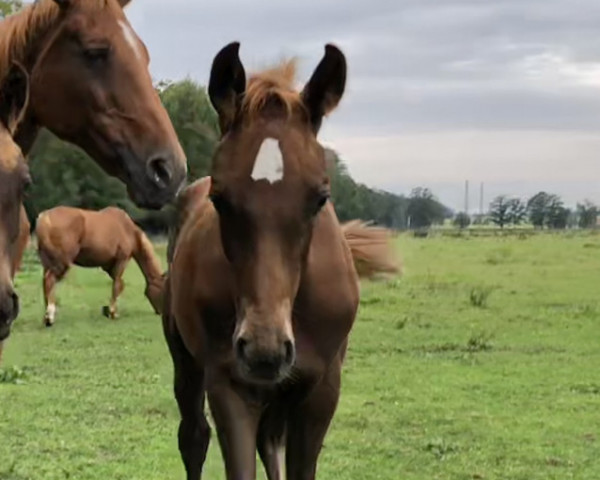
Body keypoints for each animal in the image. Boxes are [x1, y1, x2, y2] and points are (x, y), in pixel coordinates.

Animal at [164, 42, 398, 480]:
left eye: (320, 198)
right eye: (220, 198)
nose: (264, 348)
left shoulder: (321, 389)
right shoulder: (230, 384)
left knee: (269, 439)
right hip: (184, 357)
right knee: (194, 436)